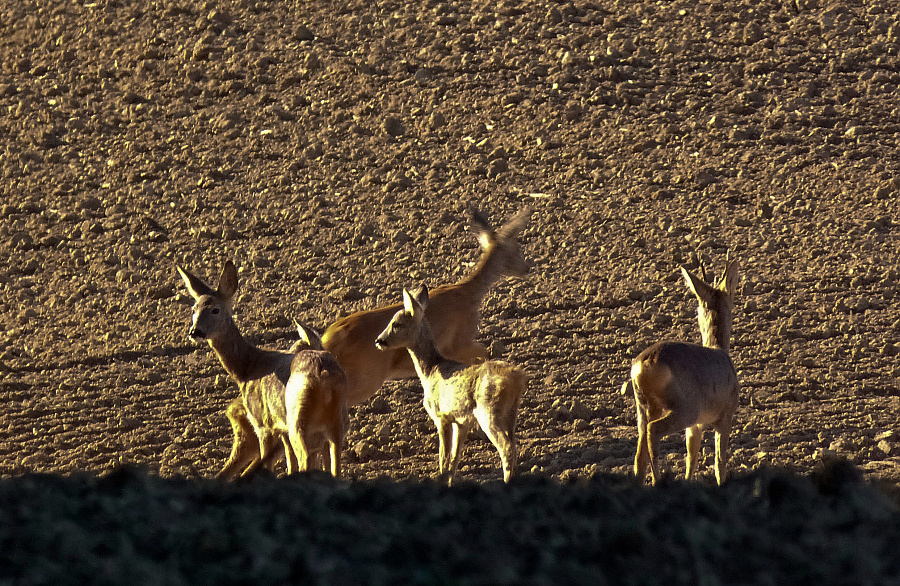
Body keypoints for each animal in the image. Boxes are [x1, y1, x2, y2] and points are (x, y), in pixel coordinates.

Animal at [176, 262, 348, 480]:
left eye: (215, 310)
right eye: (194, 309)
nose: (195, 332)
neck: (248, 369)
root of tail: (324, 377)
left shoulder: (263, 424)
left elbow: (269, 460)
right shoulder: (280, 426)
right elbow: (289, 461)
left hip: (300, 426)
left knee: (306, 461)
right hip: (338, 424)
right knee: (334, 467)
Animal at [324, 206, 532, 406]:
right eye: (516, 249)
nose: (527, 268)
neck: (469, 293)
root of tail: (328, 339)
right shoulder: (458, 343)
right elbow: (483, 354)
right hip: (366, 378)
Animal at [374, 284, 528, 484]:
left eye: (396, 324)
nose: (379, 341)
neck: (431, 370)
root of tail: (518, 379)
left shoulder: (441, 416)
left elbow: (443, 459)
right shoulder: (462, 421)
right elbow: (454, 459)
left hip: (489, 411)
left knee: (507, 448)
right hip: (511, 413)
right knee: (514, 446)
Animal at [624, 256, 740, 484]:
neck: (720, 349)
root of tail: (644, 365)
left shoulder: (696, 426)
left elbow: (691, 458)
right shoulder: (725, 415)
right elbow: (719, 463)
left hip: (644, 409)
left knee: (639, 456)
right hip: (684, 408)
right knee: (653, 433)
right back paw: (658, 480)